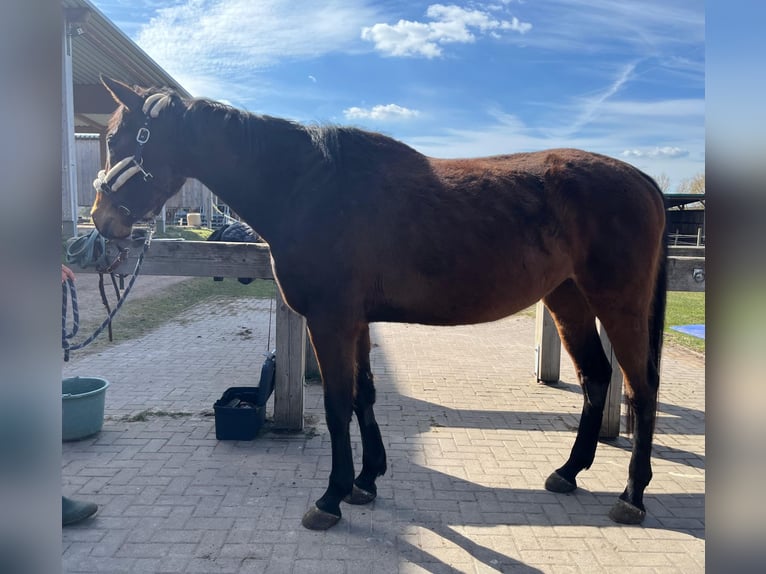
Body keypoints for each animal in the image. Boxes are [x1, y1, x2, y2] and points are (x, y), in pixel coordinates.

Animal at [91, 76, 667, 531]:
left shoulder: (330, 321)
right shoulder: (358, 322)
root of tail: (643, 180)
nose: (101, 221)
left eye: (120, 138)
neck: (309, 187)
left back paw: (632, 496)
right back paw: (569, 472)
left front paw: (330, 497)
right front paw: (365, 481)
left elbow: (336, 403)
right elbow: (363, 396)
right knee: (596, 378)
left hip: (618, 303)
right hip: (569, 299)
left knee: (640, 387)